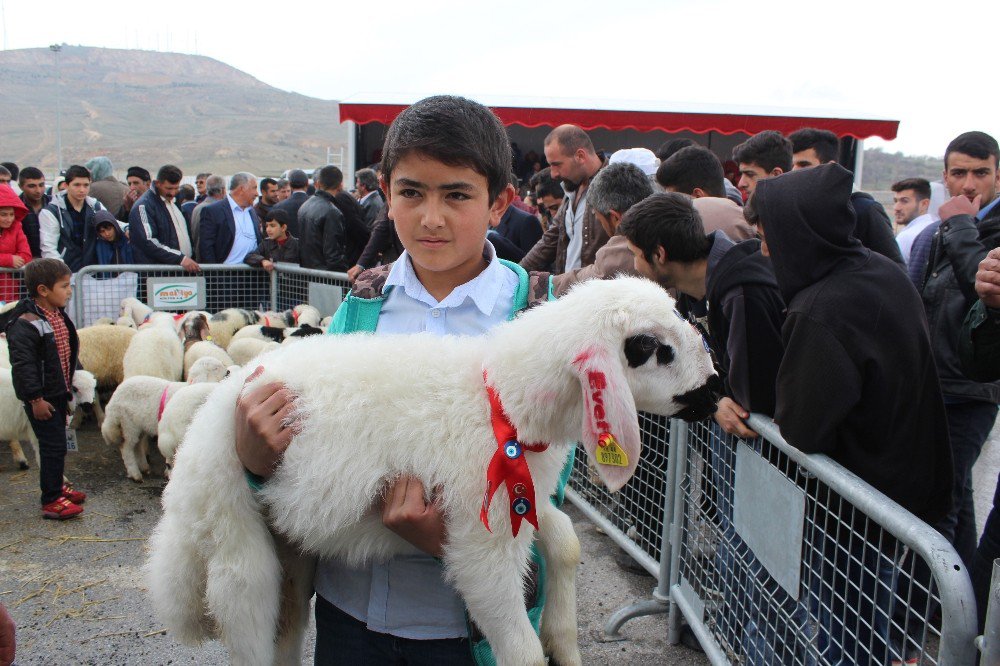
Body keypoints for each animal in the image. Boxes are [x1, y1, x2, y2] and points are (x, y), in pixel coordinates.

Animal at [145, 276, 720, 664]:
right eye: (651, 349)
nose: (716, 393)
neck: (501, 397)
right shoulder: (481, 541)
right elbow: (519, 646)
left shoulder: (523, 499)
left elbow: (566, 542)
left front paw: (563, 639)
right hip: (234, 540)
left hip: (289, 548)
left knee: (286, 631)